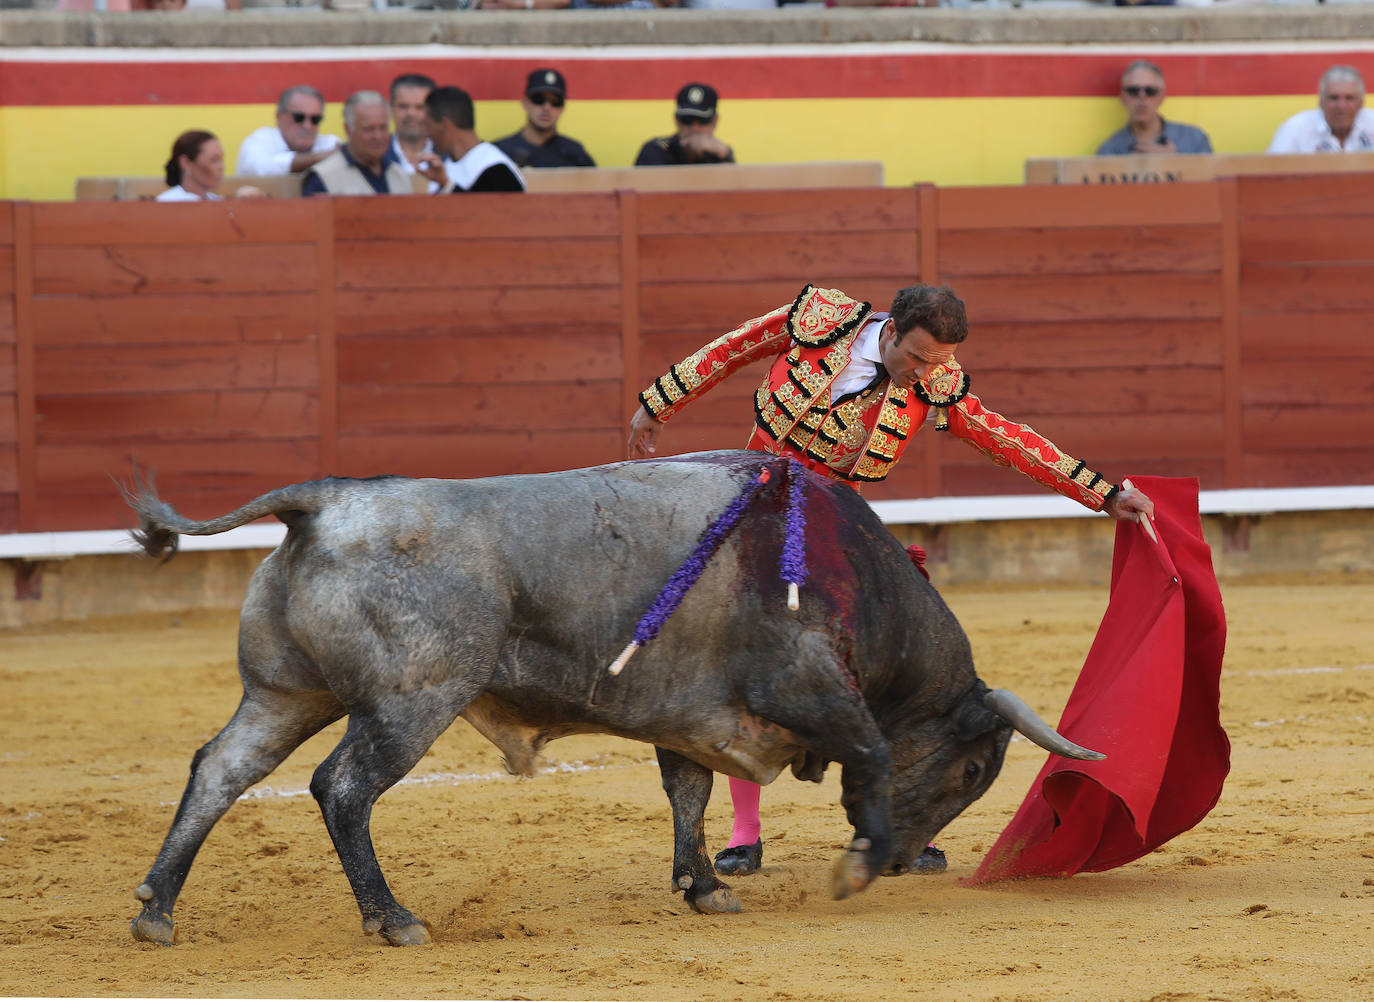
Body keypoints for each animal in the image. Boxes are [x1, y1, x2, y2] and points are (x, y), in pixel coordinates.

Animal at [123, 450, 1099, 945]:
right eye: (972, 771)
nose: (904, 862)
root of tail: (325, 503)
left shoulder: (688, 717)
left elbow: (689, 795)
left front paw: (706, 888)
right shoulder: (809, 683)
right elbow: (868, 754)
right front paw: (852, 866)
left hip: (287, 692)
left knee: (222, 770)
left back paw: (157, 910)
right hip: (413, 699)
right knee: (343, 789)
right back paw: (392, 919)